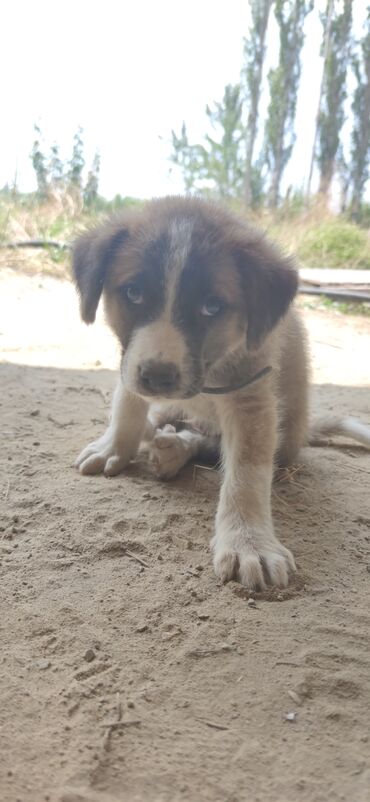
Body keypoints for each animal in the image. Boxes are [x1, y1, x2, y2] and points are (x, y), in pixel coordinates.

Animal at [72, 197, 370, 592]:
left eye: (211, 307)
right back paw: (160, 438)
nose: (157, 376)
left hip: (285, 437)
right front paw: (114, 447)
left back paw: (173, 450)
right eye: (133, 293)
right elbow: (127, 403)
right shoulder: (130, 357)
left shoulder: (251, 398)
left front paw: (249, 543)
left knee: (210, 445)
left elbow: (245, 473)